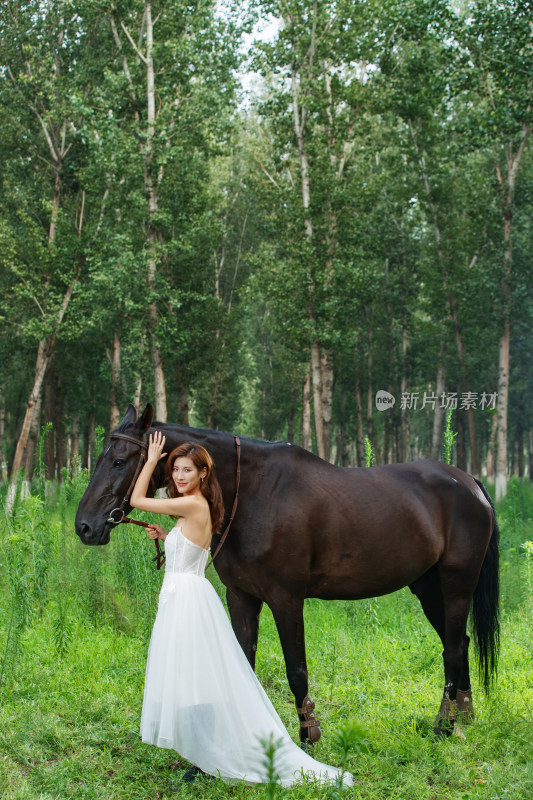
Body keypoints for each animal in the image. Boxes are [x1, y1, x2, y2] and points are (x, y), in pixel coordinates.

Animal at [75, 404, 498, 740]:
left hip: (457, 585)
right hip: (428, 588)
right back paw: (464, 717)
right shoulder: (241, 597)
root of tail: (470, 483)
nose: (85, 527)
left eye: (119, 461)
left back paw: (443, 727)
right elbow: (243, 661)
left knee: (452, 648)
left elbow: (297, 670)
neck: (252, 494)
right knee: (459, 643)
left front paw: (308, 737)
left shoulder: (286, 599)